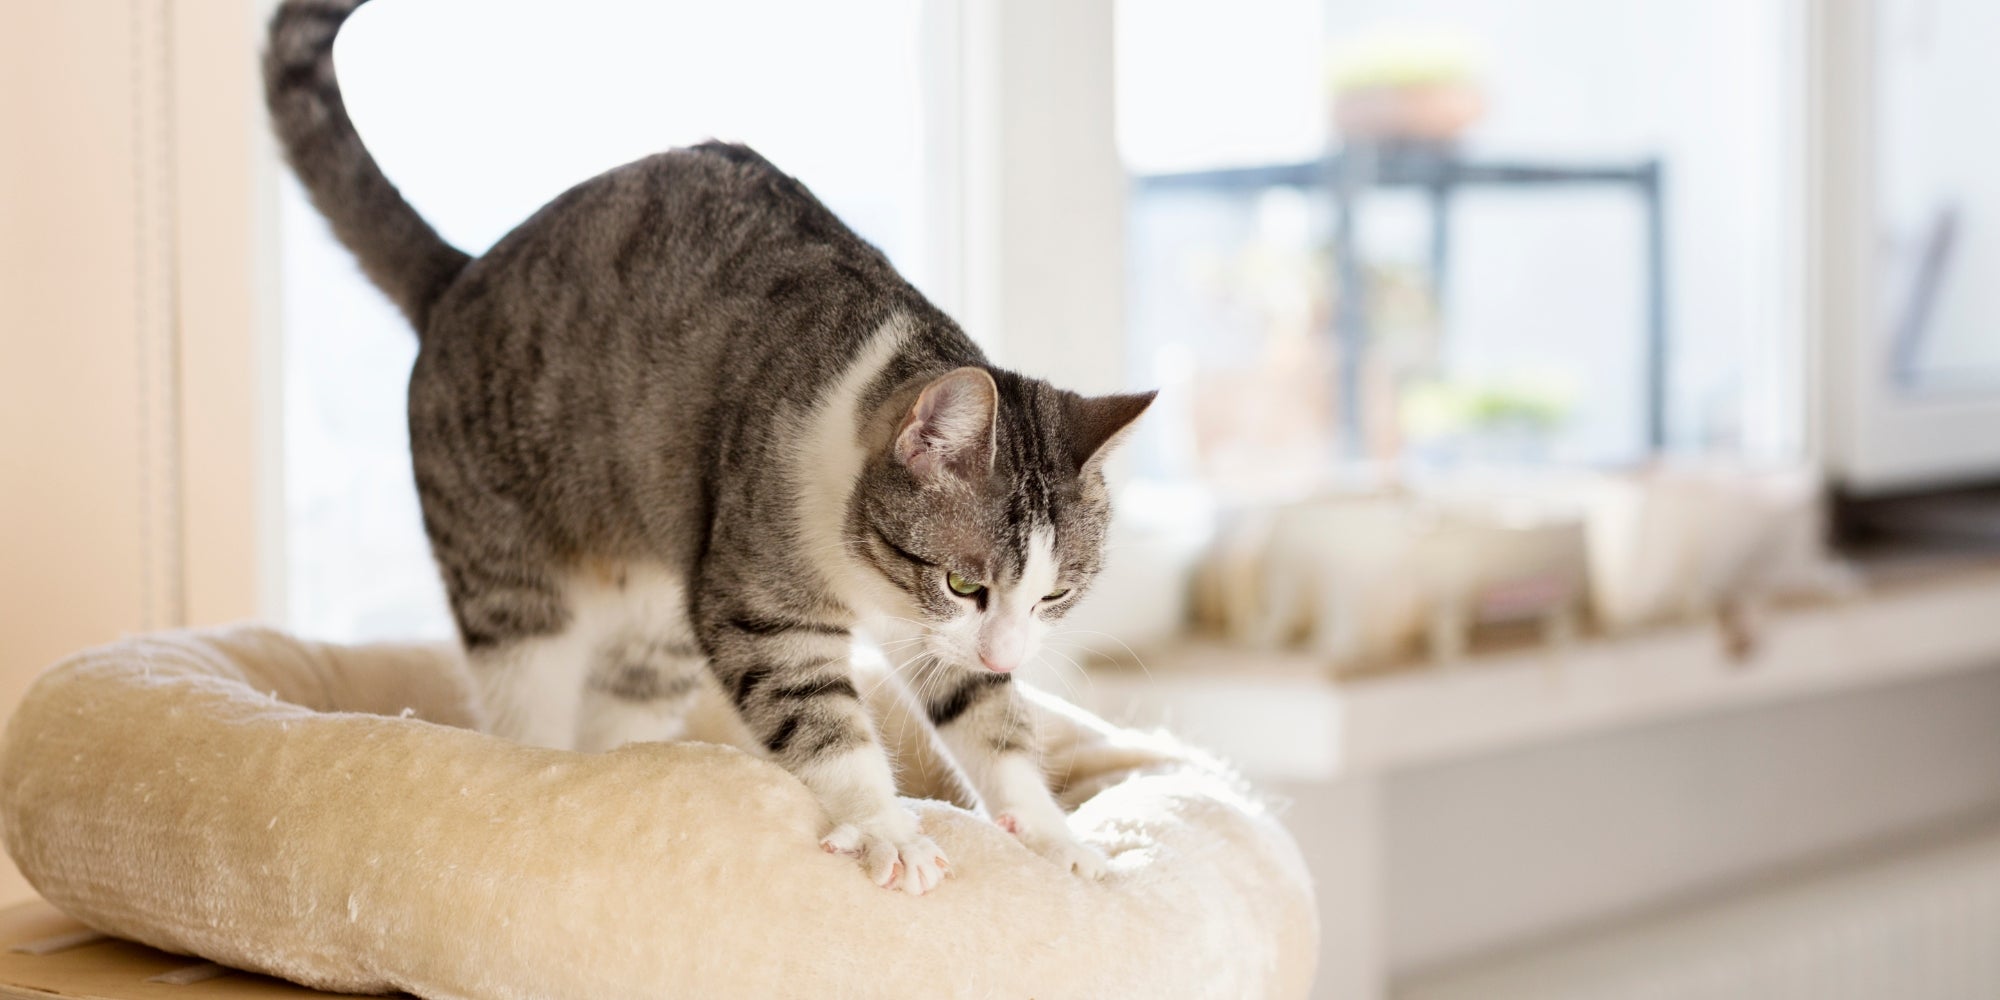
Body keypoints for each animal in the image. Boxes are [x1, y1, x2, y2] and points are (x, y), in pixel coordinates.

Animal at [266, 0, 1160, 896]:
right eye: (964, 582)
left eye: (1055, 595)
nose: (1010, 650)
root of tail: (458, 275)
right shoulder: (759, 594)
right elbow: (821, 717)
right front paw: (885, 827)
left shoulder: (933, 634)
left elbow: (987, 714)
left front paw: (1055, 838)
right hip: (509, 582)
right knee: (527, 694)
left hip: (654, 620)